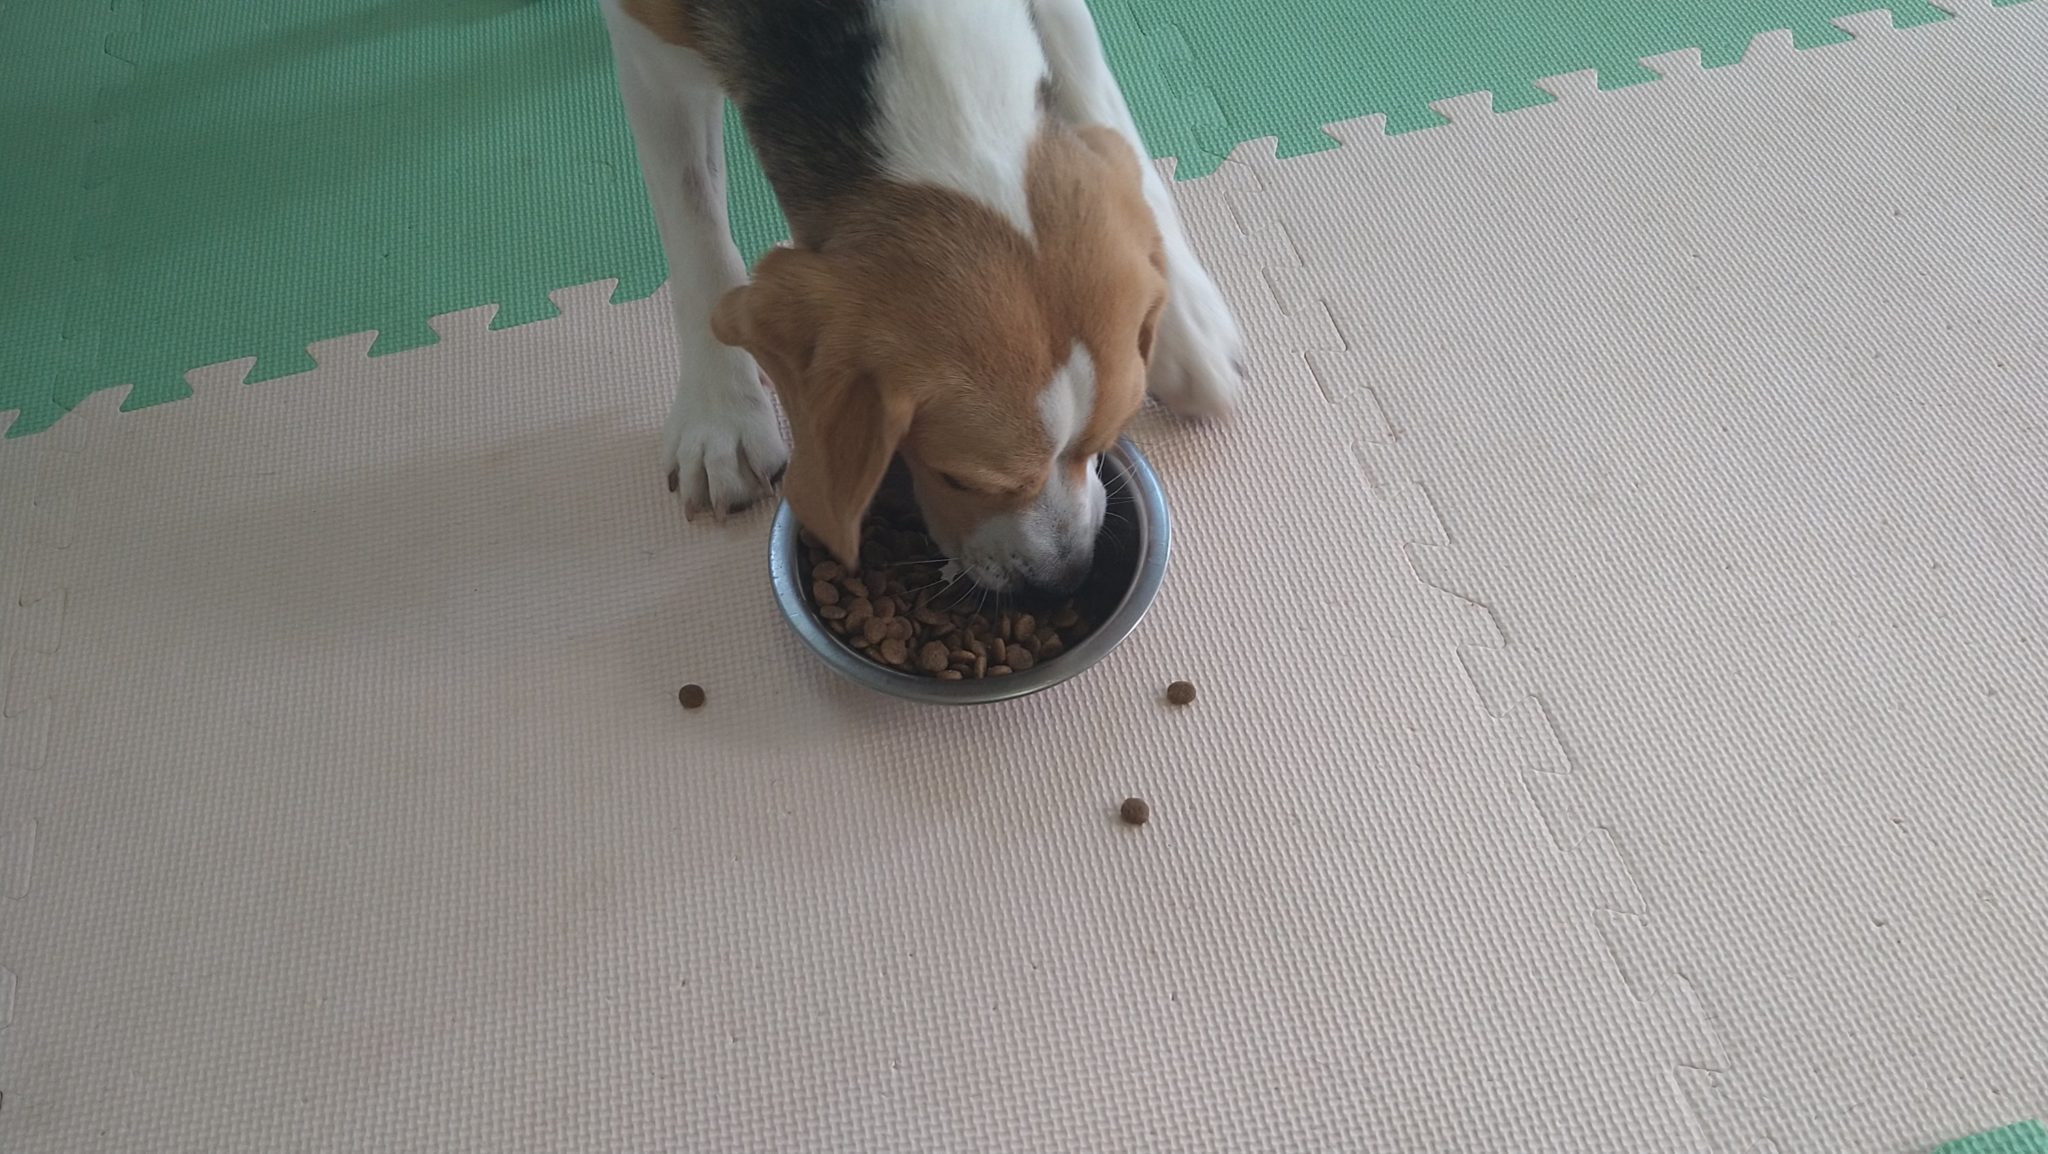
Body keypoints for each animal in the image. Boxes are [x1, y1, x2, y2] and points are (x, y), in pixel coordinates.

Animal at [599, 0, 1245, 597]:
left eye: (1105, 443)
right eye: (958, 479)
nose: (1063, 578)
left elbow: (1101, 105)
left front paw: (1188, 330)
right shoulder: (645, 45)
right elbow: (693, 224)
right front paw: (720, 415)